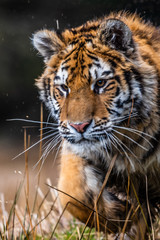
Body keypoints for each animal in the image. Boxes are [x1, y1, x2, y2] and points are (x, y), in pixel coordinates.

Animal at [32, 12, 160, 240]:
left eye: (100, 83)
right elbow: (72, 194)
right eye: (64, 88)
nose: (79, 126)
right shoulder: (76, 149)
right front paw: (121, 216)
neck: (129, 142)